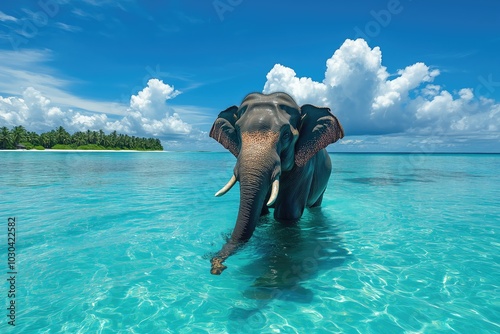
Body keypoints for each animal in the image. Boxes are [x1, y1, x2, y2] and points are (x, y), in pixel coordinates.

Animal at [208, 91, 344, 274]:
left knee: (315, 207)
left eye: (286, 135)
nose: (216, 266)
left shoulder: (304, 170)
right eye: (237, 131)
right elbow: (261, 212)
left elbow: (287, 215)